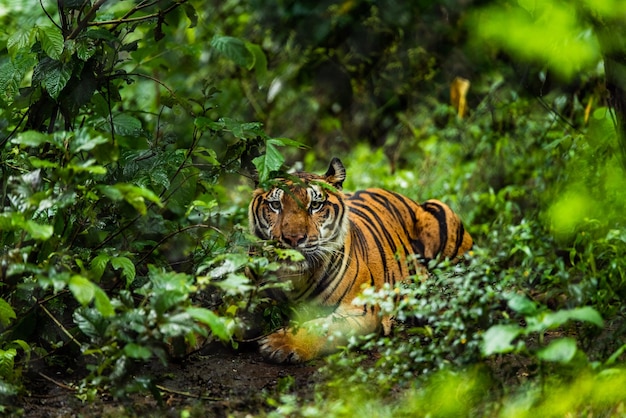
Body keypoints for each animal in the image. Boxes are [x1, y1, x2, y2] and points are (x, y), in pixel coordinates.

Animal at [246, 157, 470, 362]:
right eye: (276, 205)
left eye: (315, 205)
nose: (294, 238)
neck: (294, 279)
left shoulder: (360, 310)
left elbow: (321, 328)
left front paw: (281, 343)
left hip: (438, 212)